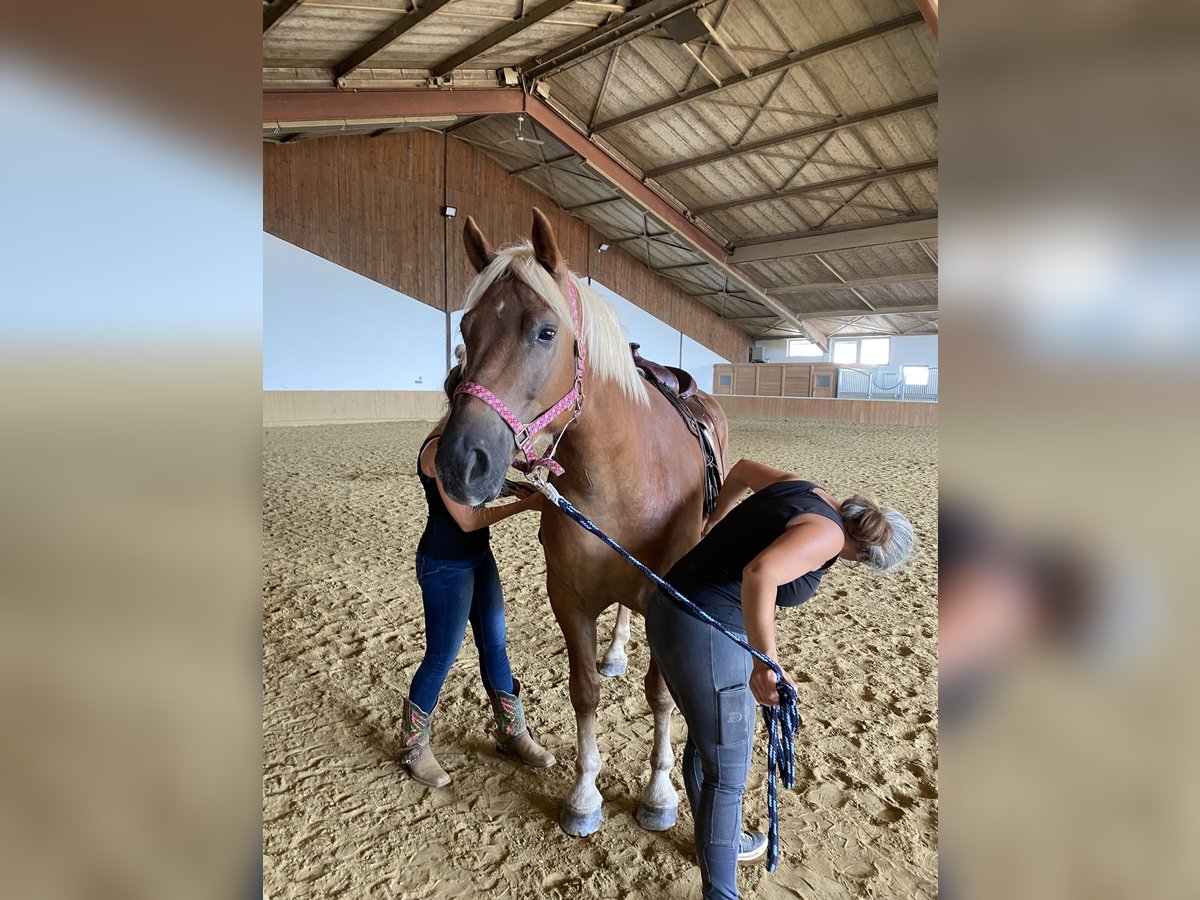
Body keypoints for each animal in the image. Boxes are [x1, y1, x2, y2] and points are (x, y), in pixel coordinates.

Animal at [436, 206, 724, 840]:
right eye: (465, 326)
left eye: (546, 332)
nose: (461, 462)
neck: (624, 476)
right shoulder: (568, 598)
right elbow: (585, 691)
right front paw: (585, 793)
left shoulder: (666, 599)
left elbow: (660, 695)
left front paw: (659, 792)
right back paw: (615, 651)